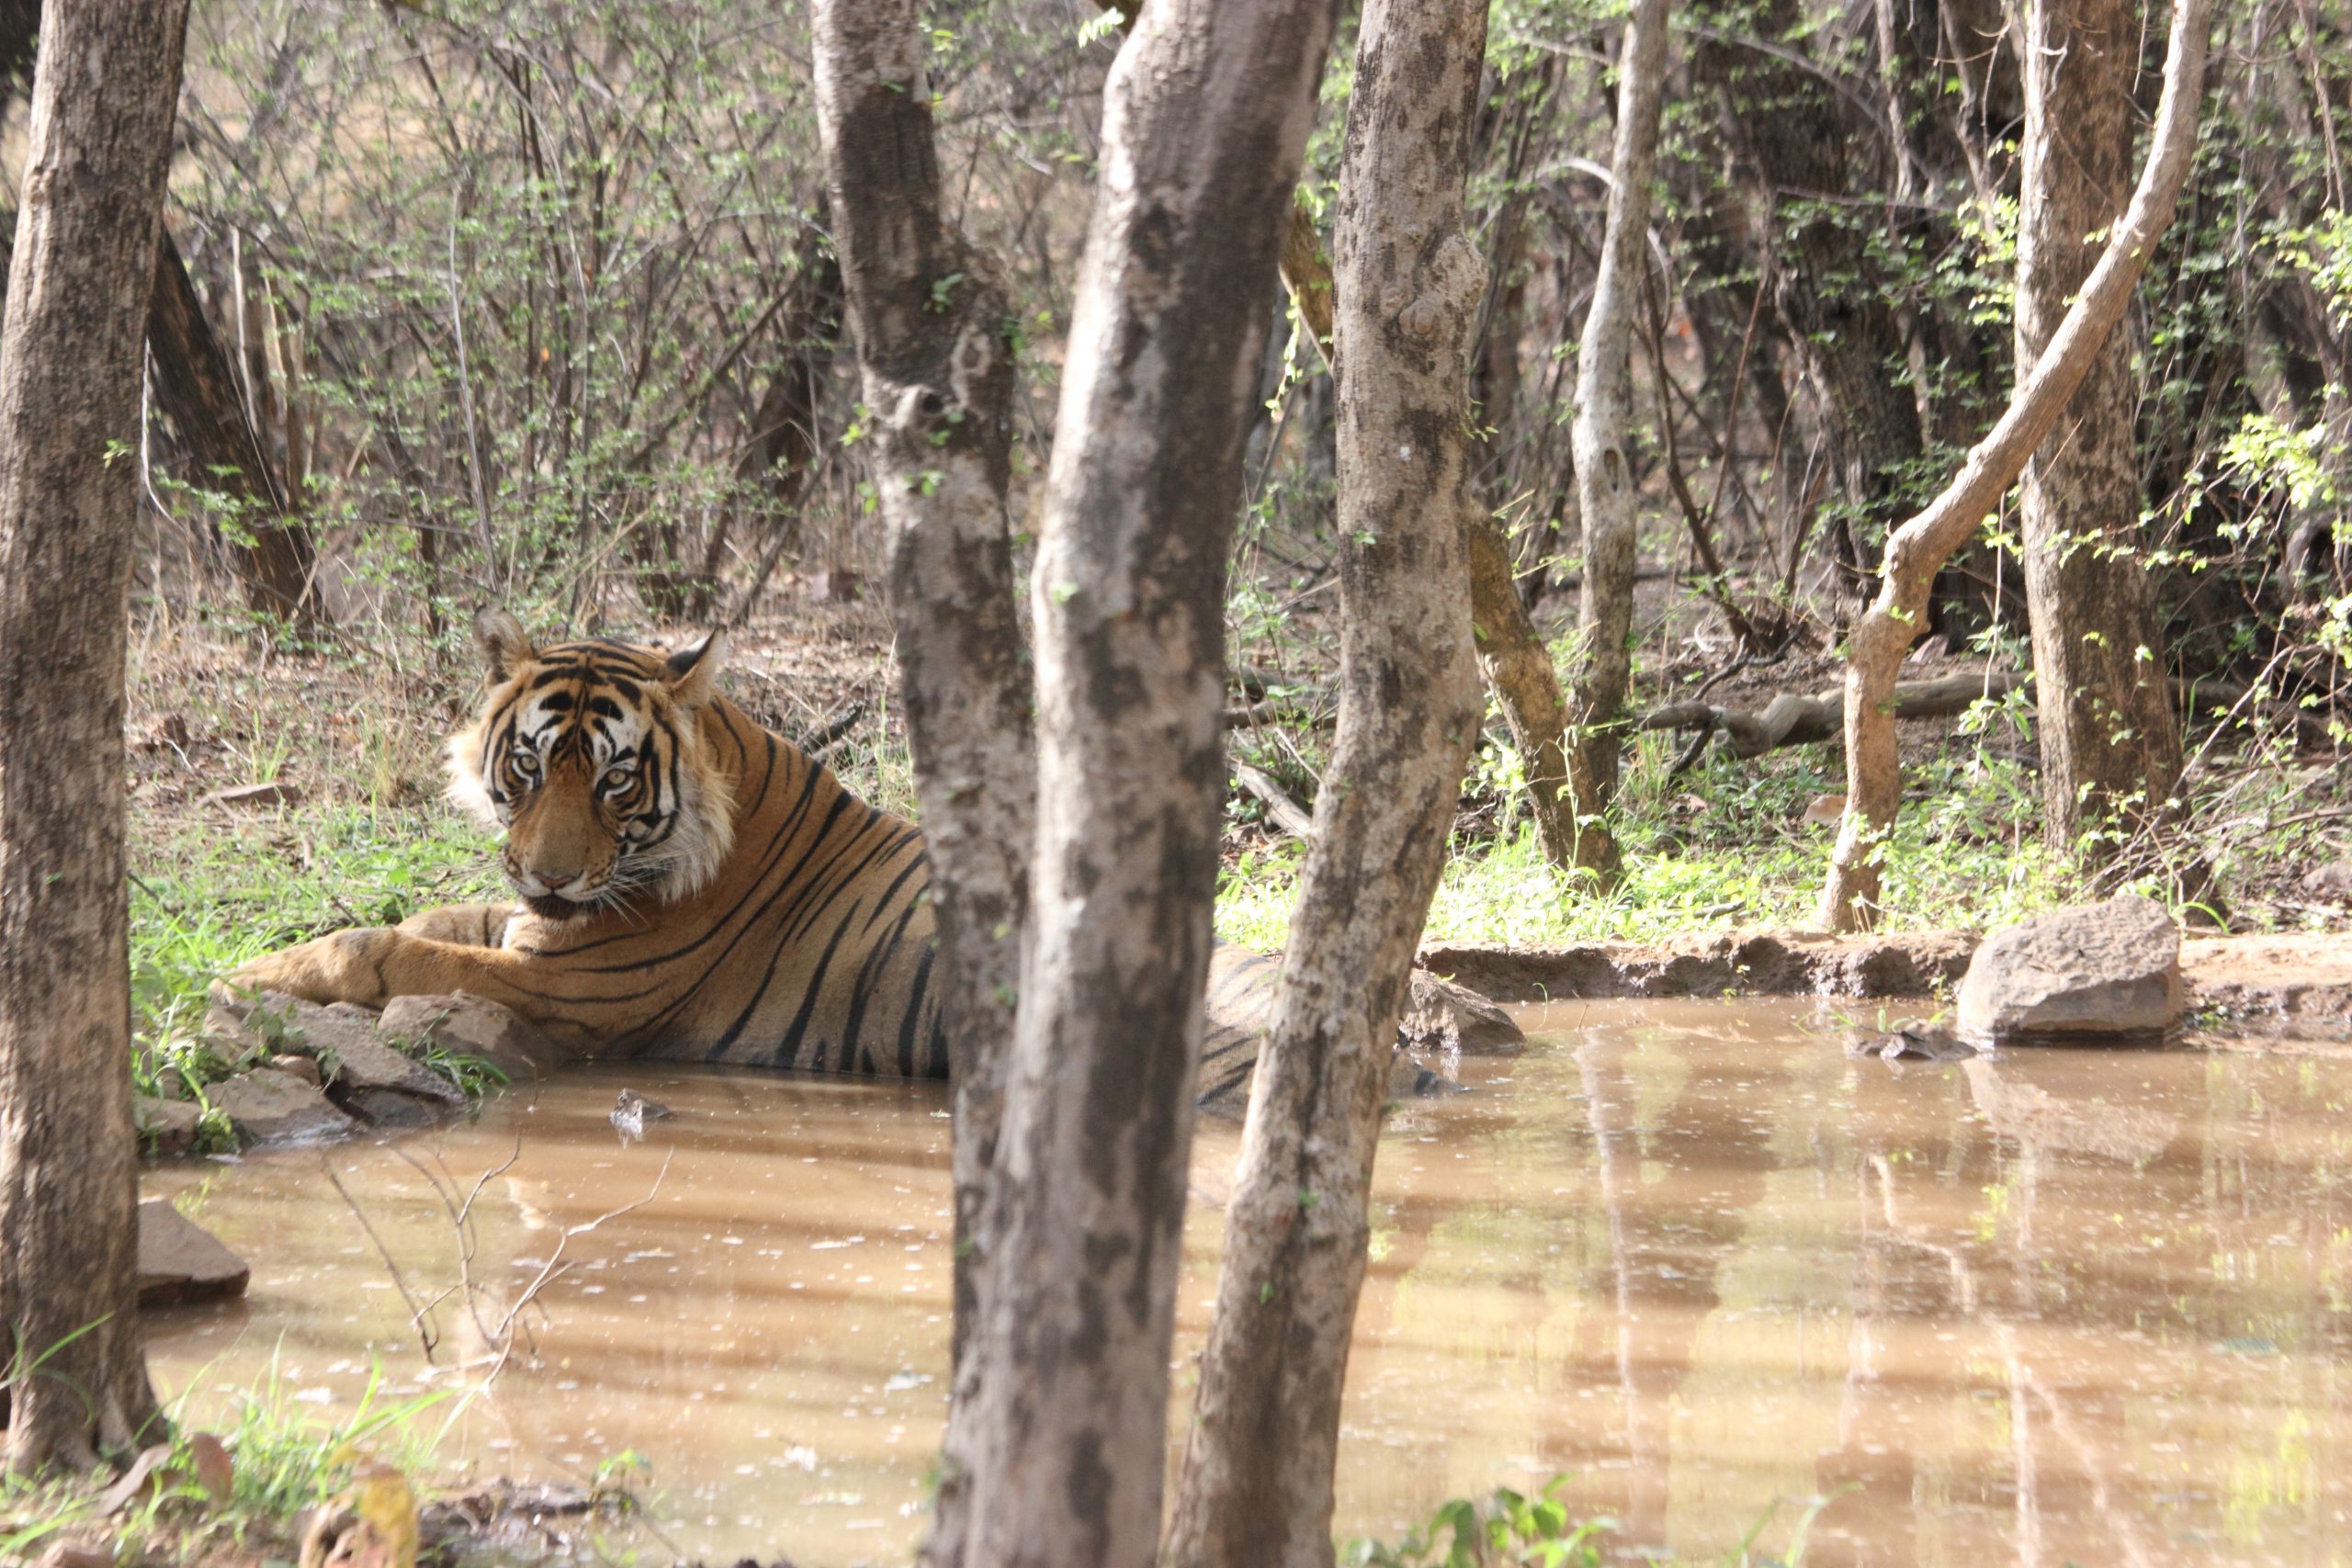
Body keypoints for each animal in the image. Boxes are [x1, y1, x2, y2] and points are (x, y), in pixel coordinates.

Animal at [219, 611, 1307, 1104]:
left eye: (614, 781)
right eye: (527, 765)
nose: (554, 874)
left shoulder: (575, 987)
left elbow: (388, 947)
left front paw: (246, 974)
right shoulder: (532, 926)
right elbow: (426, 919)